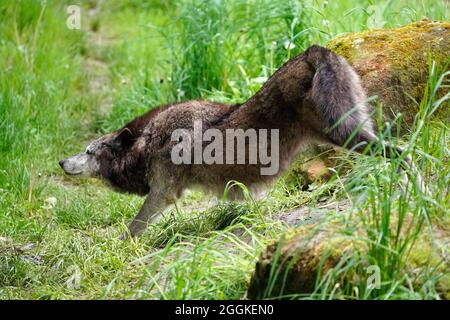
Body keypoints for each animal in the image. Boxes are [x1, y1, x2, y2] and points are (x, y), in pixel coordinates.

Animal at [59, 45, 418, 238]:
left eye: (88, 151)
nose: (61, 162)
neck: (149, 143)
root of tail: (314, 51)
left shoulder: (162, 193)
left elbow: (133, 227)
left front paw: (115, 245)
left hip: (350, 136)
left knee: (404, 153)